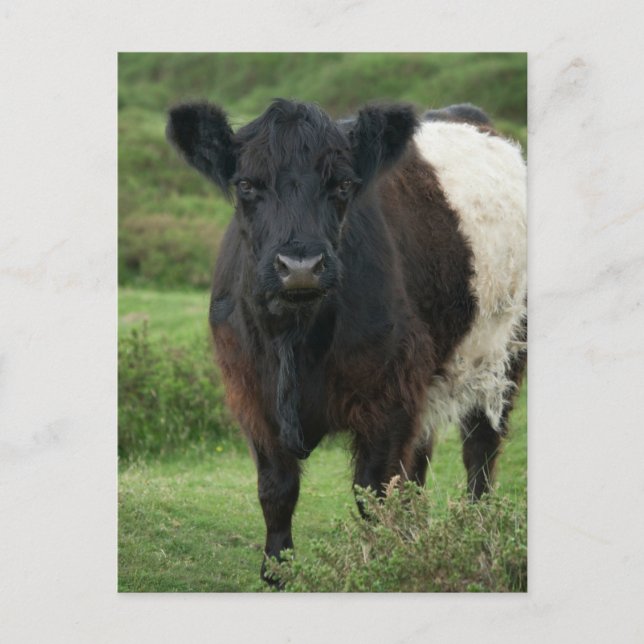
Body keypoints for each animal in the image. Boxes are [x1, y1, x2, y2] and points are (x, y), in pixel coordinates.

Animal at [166, 98, 527, 584]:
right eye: (245, 184)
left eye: (342, 185)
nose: (300, 266)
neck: (296, 338)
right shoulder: (250, 393)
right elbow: (276, 489)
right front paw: (277, 572)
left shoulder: (389, 397)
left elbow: (373, 493)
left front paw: (382, 567)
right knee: (421, 461)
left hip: (504, 353)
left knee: (481, 449)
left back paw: (478, 537)